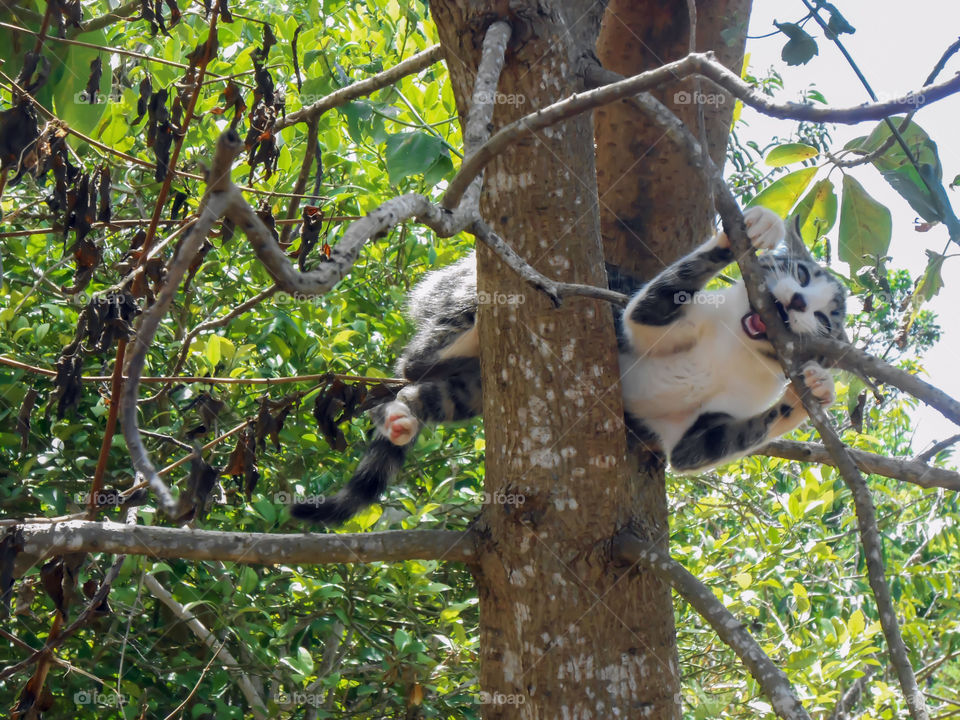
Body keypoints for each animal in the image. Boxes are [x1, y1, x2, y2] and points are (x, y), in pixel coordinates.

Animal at [292, 205, 848, 524]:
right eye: (801, 273)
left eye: (826, 318)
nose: (799, 302)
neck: (738, 348)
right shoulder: (648, 320)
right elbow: (652, 301)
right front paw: (745, 233)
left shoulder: (698, 434)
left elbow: (703, 449)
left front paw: (811, 394)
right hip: (470, 296)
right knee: (416, 360)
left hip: (475, 385)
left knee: (427, 390)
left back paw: (400, 419)